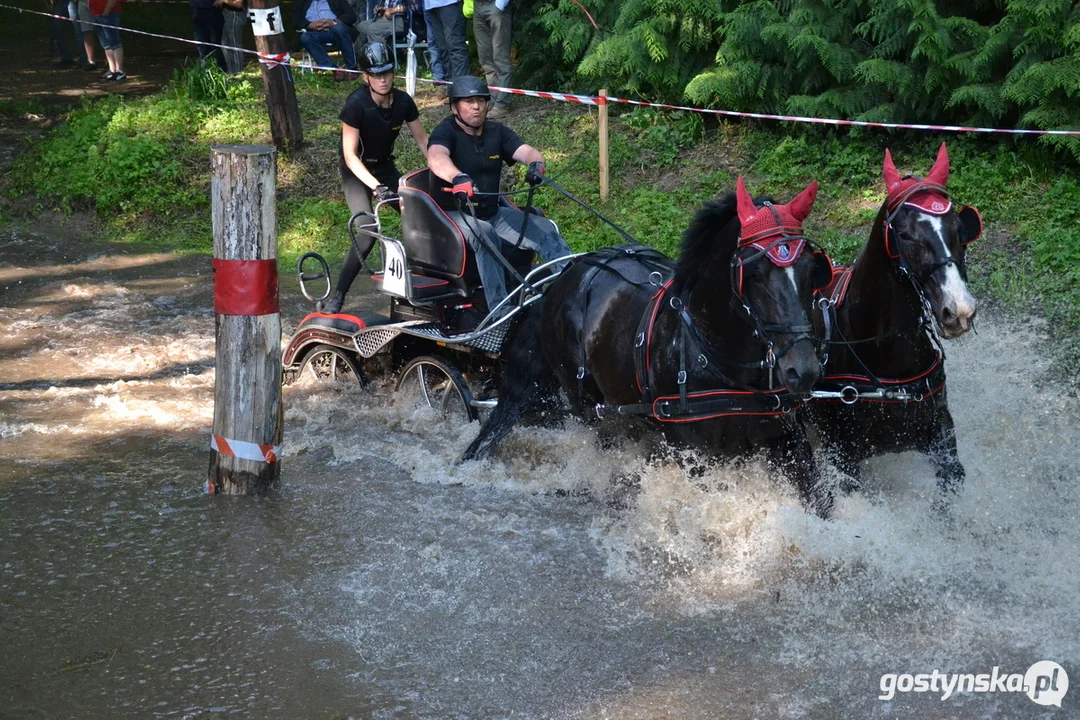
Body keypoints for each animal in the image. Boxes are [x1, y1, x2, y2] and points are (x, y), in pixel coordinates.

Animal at [462, 180, 833, 518]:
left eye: (810, 269)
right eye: (754, 274)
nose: (803, 370)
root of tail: (564, 275)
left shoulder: (787, 440)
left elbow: (819, 501)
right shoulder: (697, 454)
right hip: (589, 405)